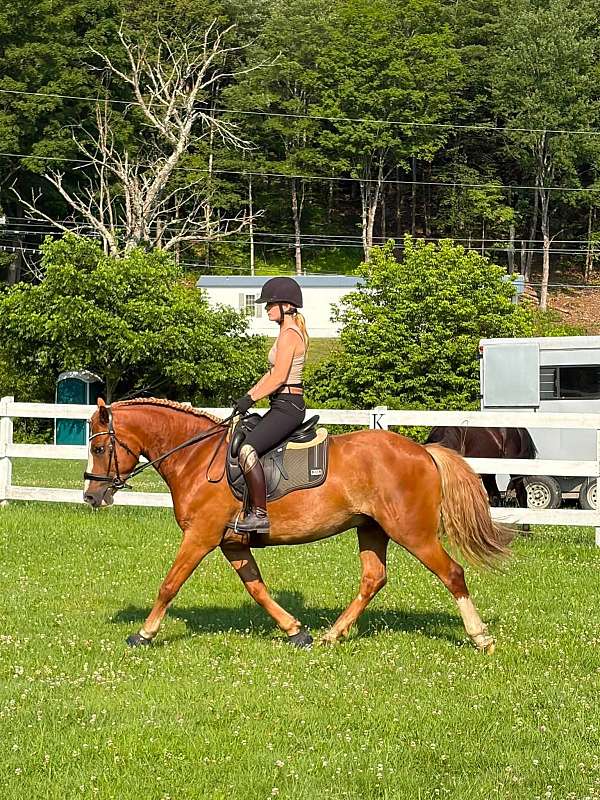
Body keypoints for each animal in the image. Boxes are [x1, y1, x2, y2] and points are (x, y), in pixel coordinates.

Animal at [83, 398, 513, 653]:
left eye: (99, 447)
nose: (91, 496)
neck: (197, 456)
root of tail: (424, 451)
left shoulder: (200, 537)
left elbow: (169, 585)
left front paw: (143, 634)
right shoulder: (232, 543)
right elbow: (257, 588)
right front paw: (296, 631)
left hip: (413, 533)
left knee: (452, 573)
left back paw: (481, 638)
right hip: (371, 529)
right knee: (373, 579)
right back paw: (332, 634)